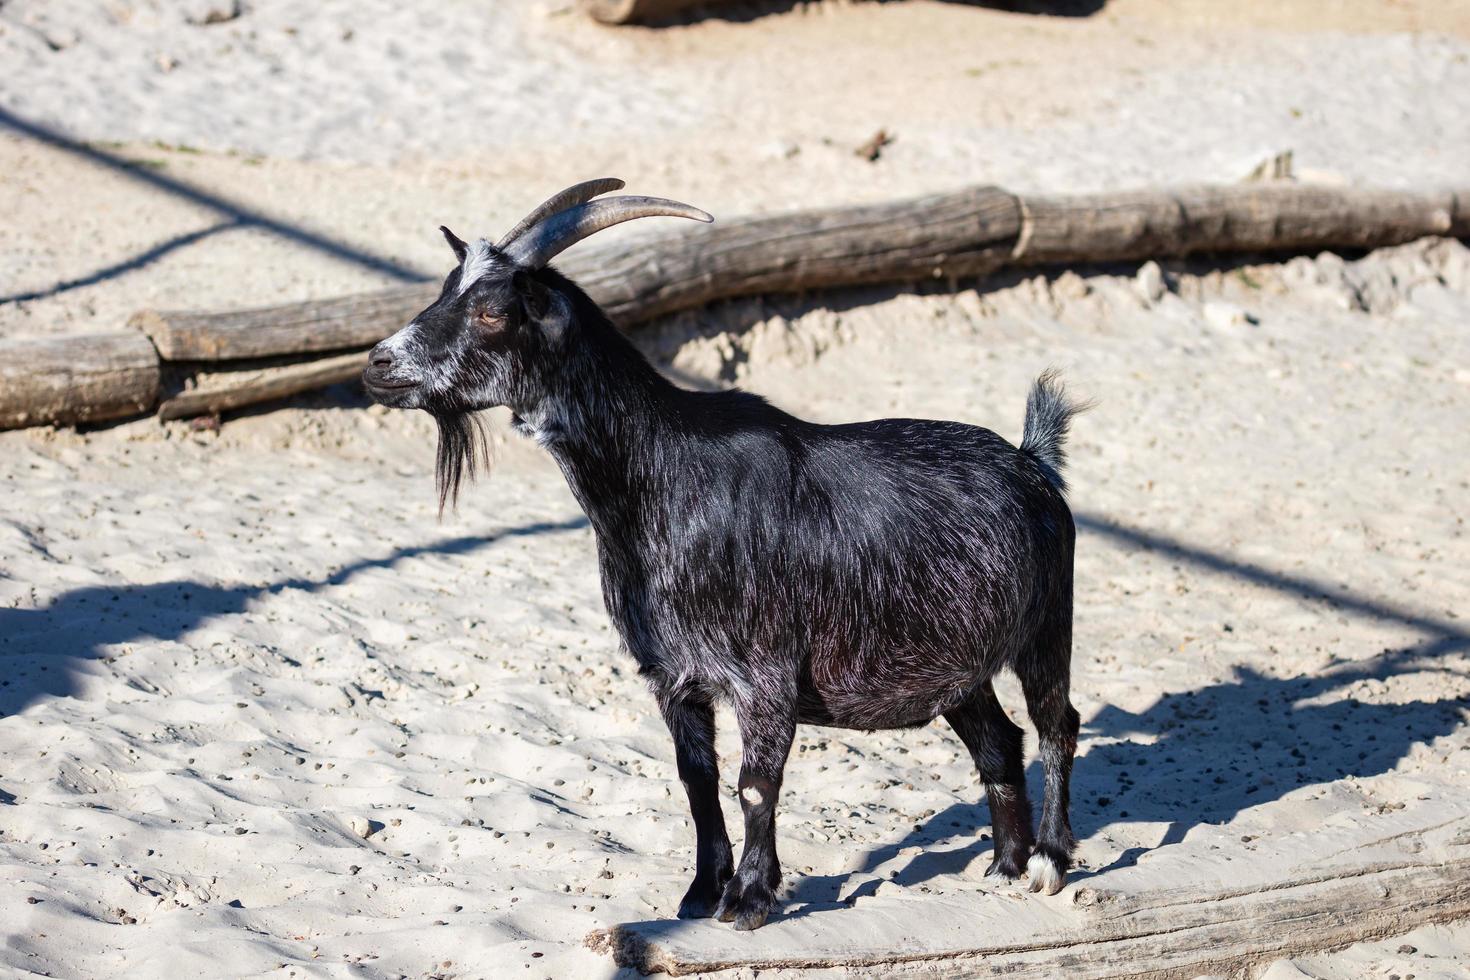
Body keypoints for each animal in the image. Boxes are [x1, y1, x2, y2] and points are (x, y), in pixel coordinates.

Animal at [363, 179, 1087, 934]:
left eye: (492, 310)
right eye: (444, 290)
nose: (379, 363)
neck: (664, 479)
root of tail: (1033, 461)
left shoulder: (765, 674)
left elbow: (755, 785)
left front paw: (748, 899)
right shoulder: (673, 676)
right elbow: (699, 782)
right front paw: (699, 892)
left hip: (1046, 628)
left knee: (1056, 722)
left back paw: (1048, 861)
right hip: (958, 664)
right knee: (999, 740)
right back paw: (1005, 862)